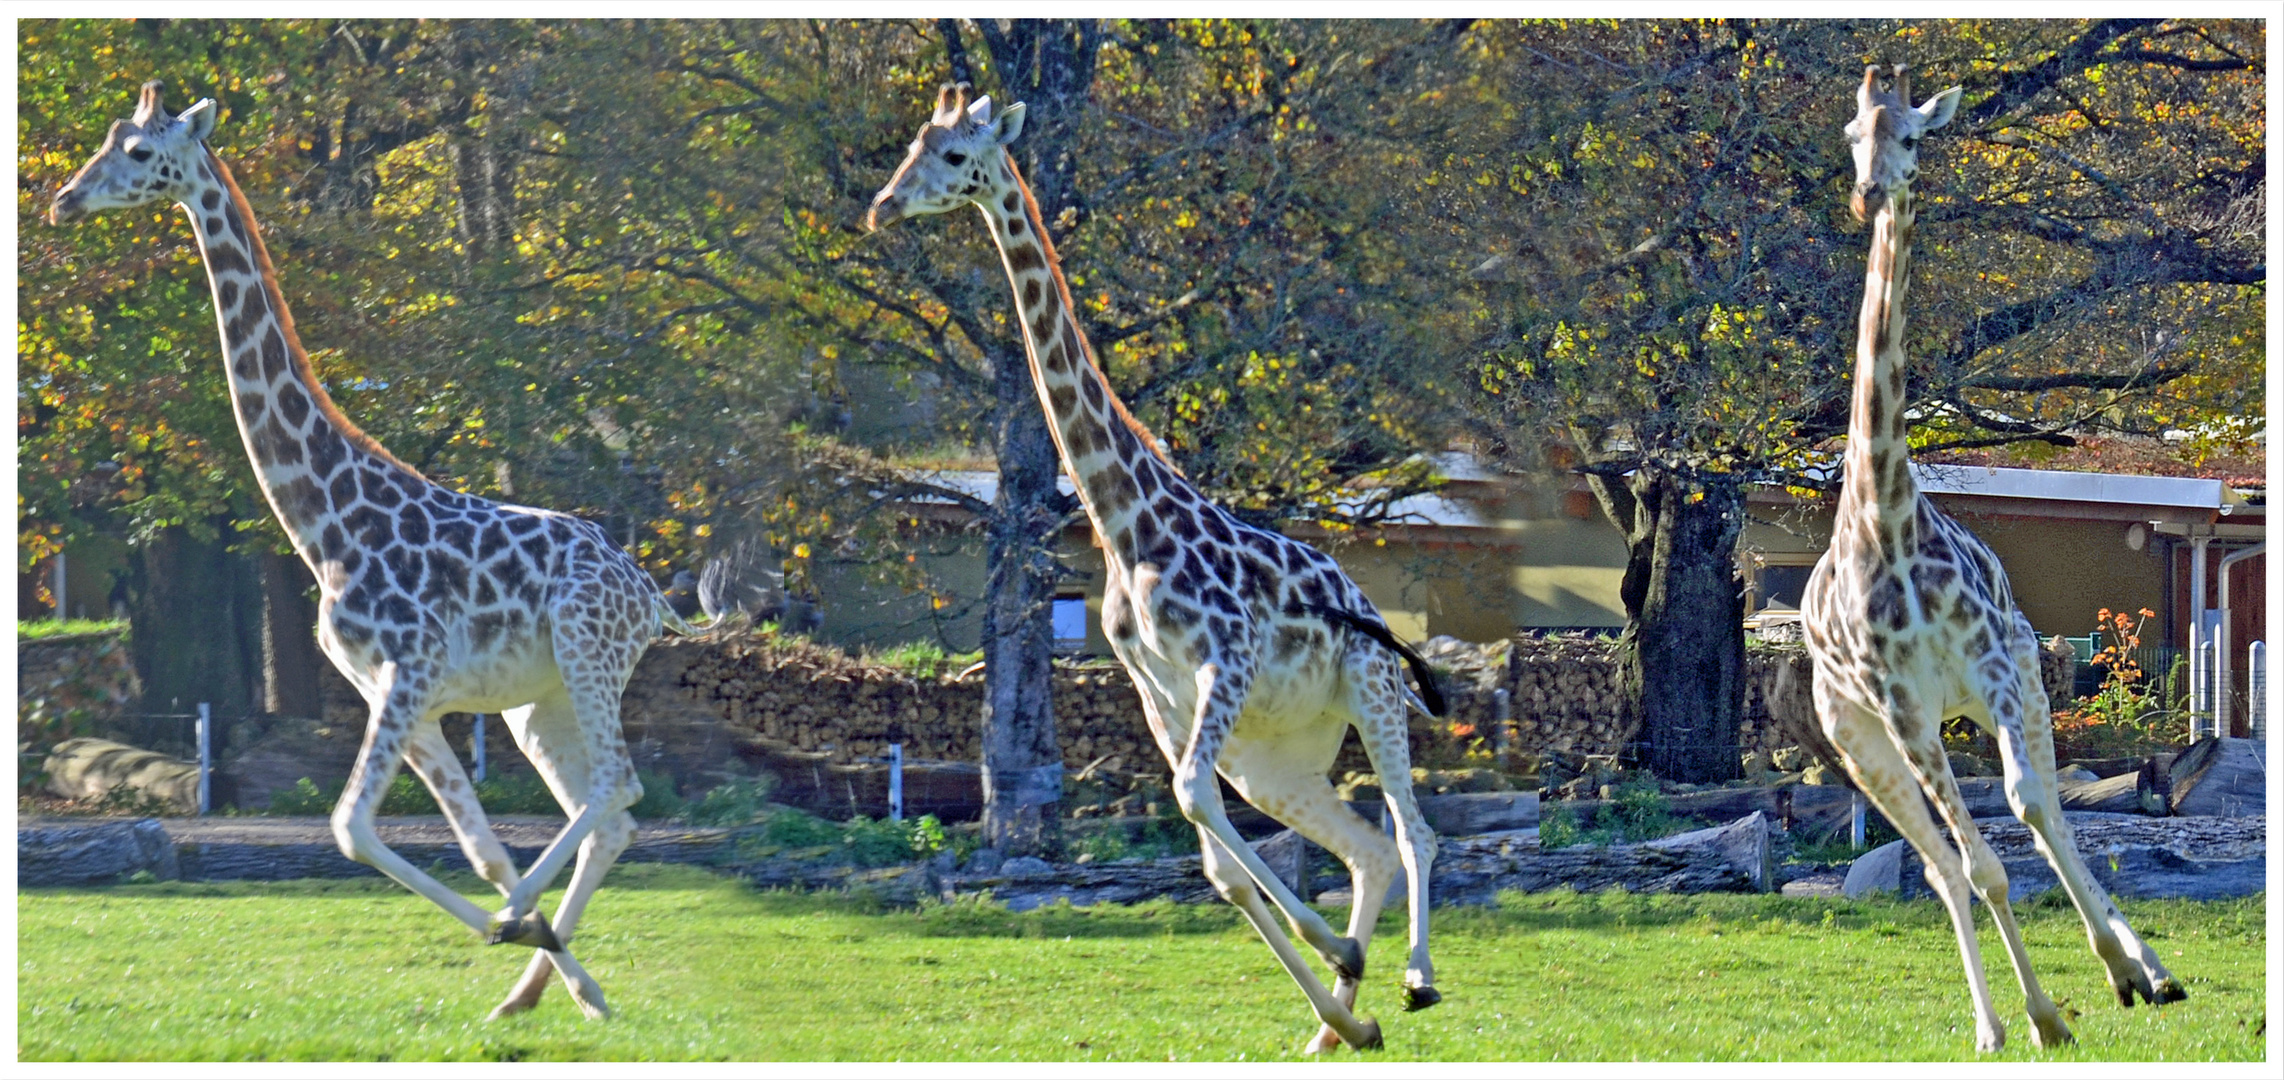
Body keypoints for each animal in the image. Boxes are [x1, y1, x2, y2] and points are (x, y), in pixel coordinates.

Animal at [49, 82, 680, 1018]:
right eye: (103, 137)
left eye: (137, 152)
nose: (65, 199)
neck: (325, 524)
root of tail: (649, 592)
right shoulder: (395, 692)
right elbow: (479, 845)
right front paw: (533, 945)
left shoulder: (407, 673)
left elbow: (350, 828)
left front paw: (513, 923)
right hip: (541, 703)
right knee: (618, 813)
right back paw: (552, 990)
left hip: (584, 651)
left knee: (619, 785)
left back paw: (531, 931)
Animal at [872, 84, 1443, 1050]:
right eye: (914, 146)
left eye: (952, 157)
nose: (882, 207)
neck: (1124, 524)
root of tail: (1364, 595)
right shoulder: (1158, 696)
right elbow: (1217, 860)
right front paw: (1337, 980)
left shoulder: (1226, 660)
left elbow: (1199, 814)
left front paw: (1340, 953)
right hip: (1275, 756)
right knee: (1366, 848)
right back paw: (1339, 1028)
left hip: (1370, 690)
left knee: (1413, 833)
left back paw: (1414, 979)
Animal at [1799, 63, 2174, 1050]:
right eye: (1851, 136)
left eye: (1912, 135)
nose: (1869, 192)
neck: (1885, 519)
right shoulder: (1902, 716)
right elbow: (1978, 869)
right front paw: (2041, 1019)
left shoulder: (1998, 667)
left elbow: (2034, 808)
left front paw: (2117, 970)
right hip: (1862, 743)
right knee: (1938, 865)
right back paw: (1994, 1026)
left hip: (2026, 682)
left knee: (2052, 811)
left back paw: (2149, 972)